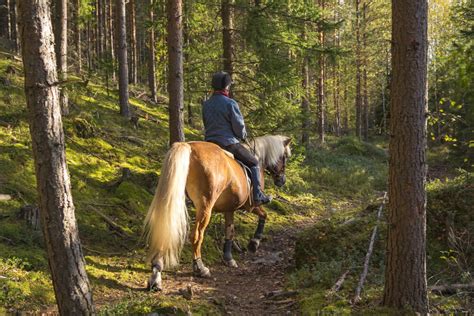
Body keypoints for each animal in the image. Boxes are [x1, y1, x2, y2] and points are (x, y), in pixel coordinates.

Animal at [143, 135, 292, 290]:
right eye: (285, 157)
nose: (282, 180)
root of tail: (189, 147)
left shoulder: (229, 209)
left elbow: (229, 231)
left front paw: (228, 258)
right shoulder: (251, 206)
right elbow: (264, 215)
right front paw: (254, 243)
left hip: (174, 197)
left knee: (165, 228)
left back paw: (156, 274)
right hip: (205, 206)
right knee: (196, 235)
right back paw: (200, 267)